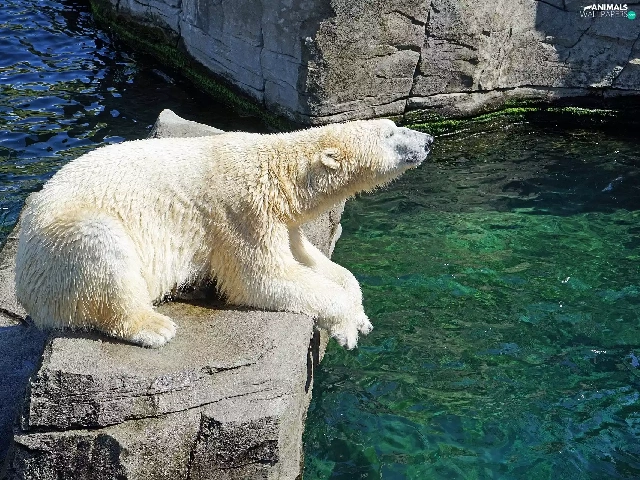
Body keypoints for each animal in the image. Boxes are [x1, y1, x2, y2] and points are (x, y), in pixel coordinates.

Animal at [15, 119, 433, 349]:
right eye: (391, 133)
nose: (428, 140)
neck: (277, 172)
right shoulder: (242, 212)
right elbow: (262, 279)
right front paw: (347, 327)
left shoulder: (281, 220)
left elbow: (312, 261)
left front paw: (361, 315)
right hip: (63, 243)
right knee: (102, 248)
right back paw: (154, 326)